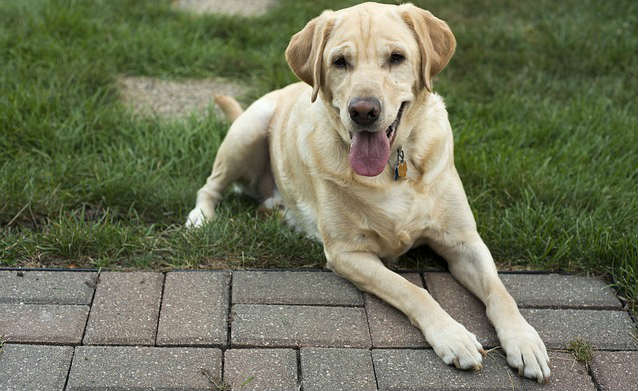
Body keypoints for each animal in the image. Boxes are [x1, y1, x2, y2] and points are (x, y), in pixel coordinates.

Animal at [185, 1, 552, 384]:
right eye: (340, 62)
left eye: (396, 57)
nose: (363, 110)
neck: (393, 167)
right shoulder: (348, 253)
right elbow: (414, 290)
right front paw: (453, 337)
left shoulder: (464, 241)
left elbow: (500, 292)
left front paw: (524, 341)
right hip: (248, 131)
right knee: (210, 185)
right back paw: (200, 219)